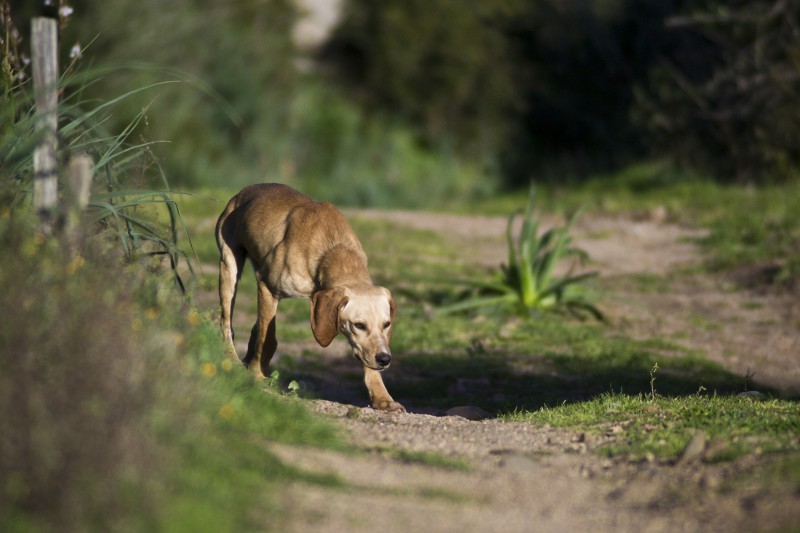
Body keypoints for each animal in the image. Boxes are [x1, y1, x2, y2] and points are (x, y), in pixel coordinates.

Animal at [214, 183, 406, 412]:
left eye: (386, 324)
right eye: (359, 325)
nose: (385, 359)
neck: (332, 247)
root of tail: (242, 192)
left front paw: (382, 397)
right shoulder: (267, 288)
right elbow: (267, 339)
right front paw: (257, 374)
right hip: (229, 268)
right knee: (226, 323)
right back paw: (233, 359)